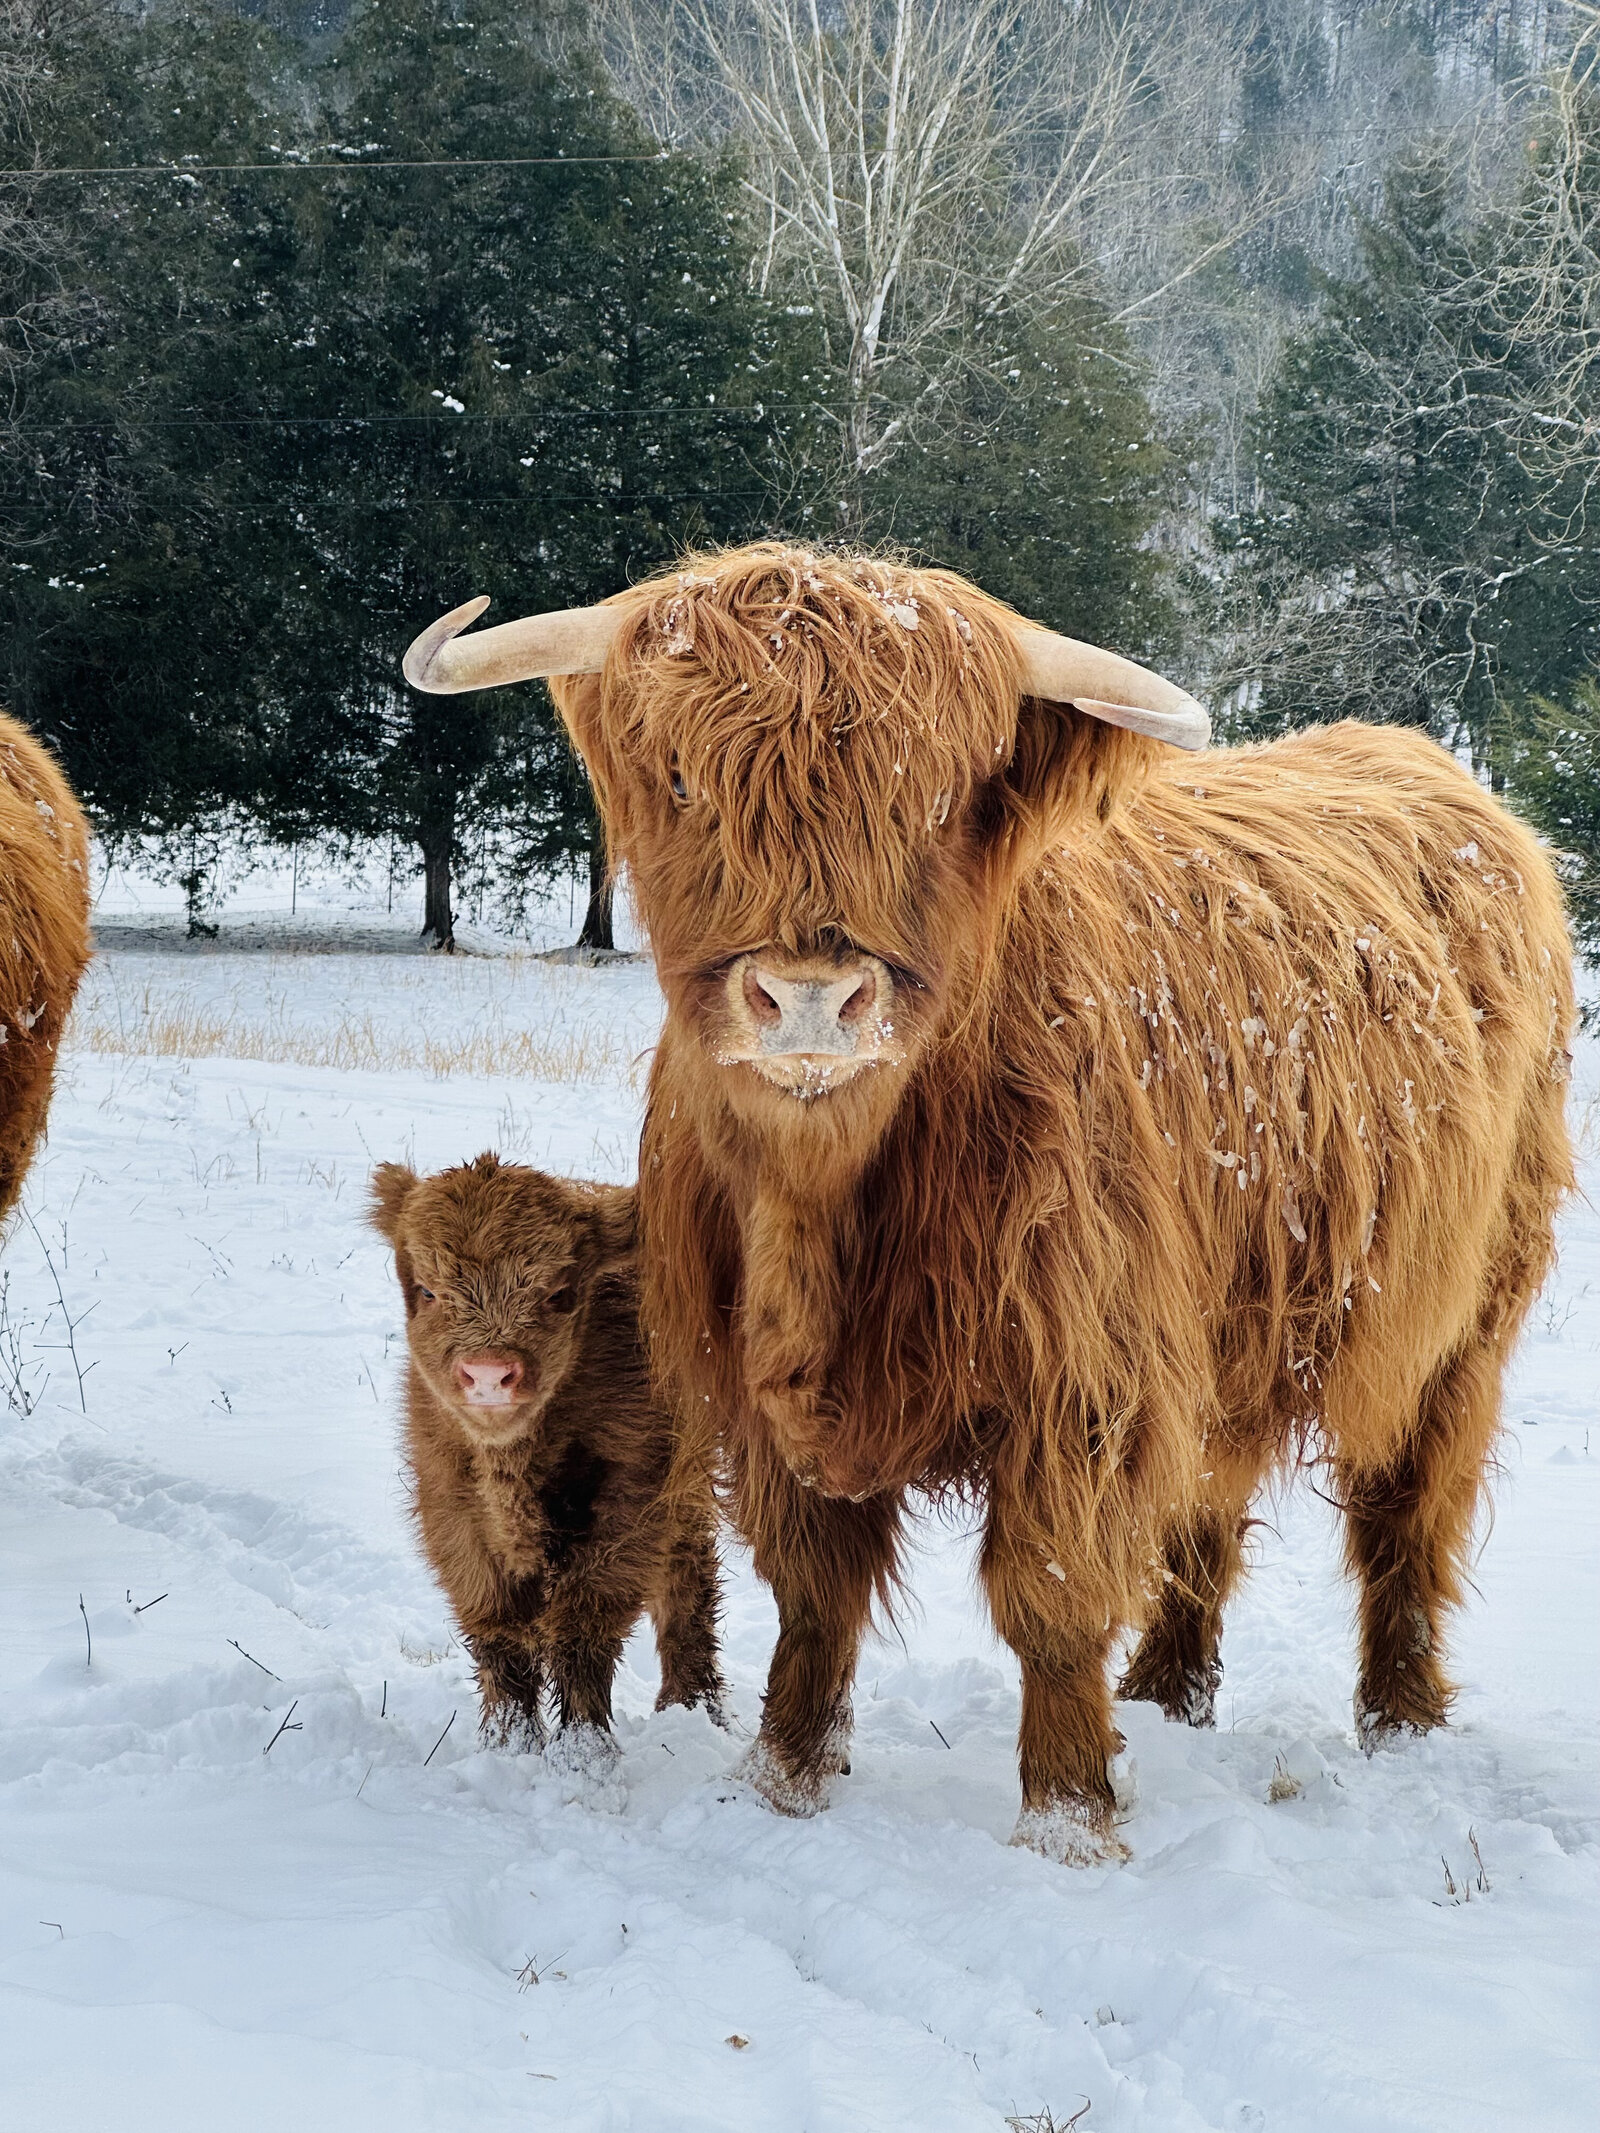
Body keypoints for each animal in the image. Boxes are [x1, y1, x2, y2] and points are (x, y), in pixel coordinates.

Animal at [370, 1154, 725, 1764]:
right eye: (428, 1291)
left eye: (559, 1293)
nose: (489, 1374)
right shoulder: (450, 1508)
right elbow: (499, 1637)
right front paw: (507, 1744)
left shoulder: (634, 1502)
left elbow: (582, 1632)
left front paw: (585, 1757)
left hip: (687, 1494)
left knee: (688, 1586)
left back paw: (693, 1706)